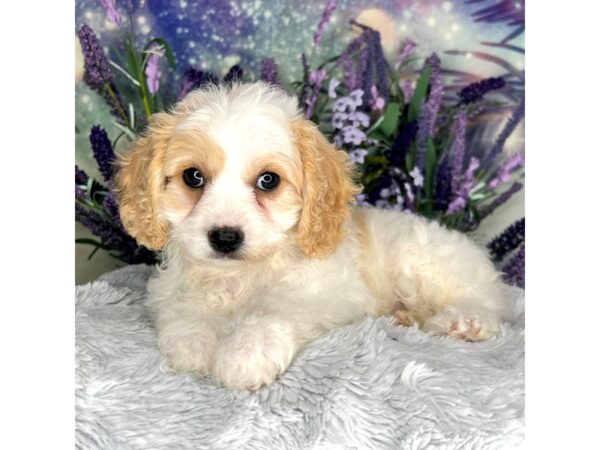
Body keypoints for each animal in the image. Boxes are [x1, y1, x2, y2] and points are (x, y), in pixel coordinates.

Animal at [116, 82, 510, 392]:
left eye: (268, 180)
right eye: (193, 177)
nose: (225, 238)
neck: (240, 278)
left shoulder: (331, 291)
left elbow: (278, 308)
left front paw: (246, 351)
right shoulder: (171, 289)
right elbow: (184, 311)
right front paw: (197, 342)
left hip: (423, 262)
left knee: (484, 302)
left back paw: (463, 322)